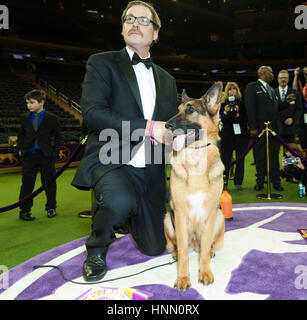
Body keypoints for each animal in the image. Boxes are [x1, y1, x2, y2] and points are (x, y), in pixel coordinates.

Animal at [165, 82, 225, 290]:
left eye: (190, 110)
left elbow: (205, 250)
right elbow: (183, 253)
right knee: (179, 247)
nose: (166, 125)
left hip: (220, 217)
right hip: (168, 219)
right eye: (178, 110)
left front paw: (205, 272)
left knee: (206, 246)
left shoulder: (211, 212)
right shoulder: (180, 214)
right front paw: (183, 278)